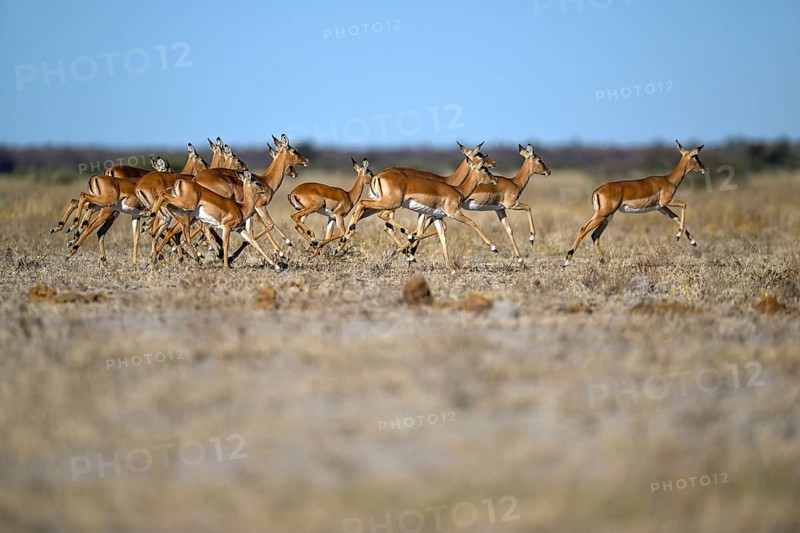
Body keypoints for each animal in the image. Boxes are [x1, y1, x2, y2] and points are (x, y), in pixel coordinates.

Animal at [148, 170, 277, 269]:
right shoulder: (227, 227)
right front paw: (226, 266)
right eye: (256, 182)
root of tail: (180, 182)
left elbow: (254, 242)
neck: (241, 208)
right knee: (162, 196)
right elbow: (226, 244)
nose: (265, 190)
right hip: (186, 206)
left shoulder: (239, 229)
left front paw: (275, 266)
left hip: (181, 211)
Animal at [336, 155, 498, 271]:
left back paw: (342, 242)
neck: (458, 190)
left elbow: (443, 238)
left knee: (366, 211)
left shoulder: (437, 216)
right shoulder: (454, 213)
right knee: (369, 207)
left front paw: (450, 268)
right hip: (390, 204)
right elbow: (472, 223)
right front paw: (494, 247)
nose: (495, 180)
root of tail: (377, 177)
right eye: (484, 168)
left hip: (386, 204)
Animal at [563, 140, 705, 266]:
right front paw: (678, 236)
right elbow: (684, 205)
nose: (704, 168)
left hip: (607, 217)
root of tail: (597, 190)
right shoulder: (666, 201)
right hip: (603, 214)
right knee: (584, 229)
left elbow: (676, 217)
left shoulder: (661, 207)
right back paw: (566, 261)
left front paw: (692, 241)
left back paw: (603, 262)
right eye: (696, 157)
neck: (669, 180)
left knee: (595, 235)